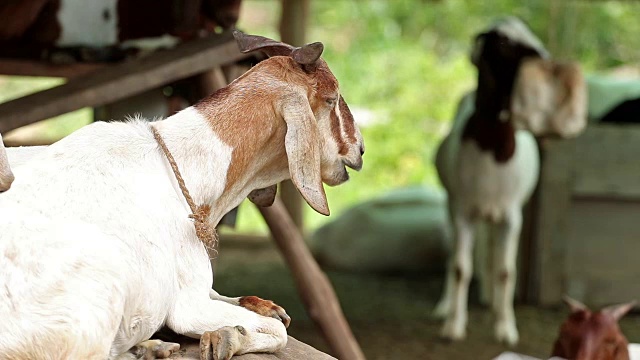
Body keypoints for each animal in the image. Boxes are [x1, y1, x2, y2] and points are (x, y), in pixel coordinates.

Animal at [0, 31, 364, 360]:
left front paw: (262, 309)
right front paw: (228, 337)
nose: (359, 150)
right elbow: (277, 333)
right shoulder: (189, 306)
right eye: (332, 99)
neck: (183, 165)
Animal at [432, 16, 588, 346]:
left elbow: (506, 271)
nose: (545, 60)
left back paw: (492, 300)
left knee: (492, 252)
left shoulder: (511, 216)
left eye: (531, 35)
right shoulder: (463, 210)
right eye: (503, 42)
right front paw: (453, 325)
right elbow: (460, 268)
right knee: (454, 254)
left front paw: (505, 329)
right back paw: (445, 306)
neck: (493, 149)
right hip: (452, 204)